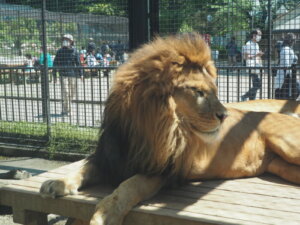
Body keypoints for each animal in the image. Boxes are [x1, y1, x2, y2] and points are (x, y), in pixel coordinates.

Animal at [39, 33, 300, 225]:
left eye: (214, 91)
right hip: (281, 166)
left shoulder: (162, 171)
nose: (225, 115)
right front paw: (57, 183)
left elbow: (128, 186)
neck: (148, 129)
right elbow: (82, 169)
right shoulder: (109, 158)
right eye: (198, 92)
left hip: (289, 146)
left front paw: (103, 215)